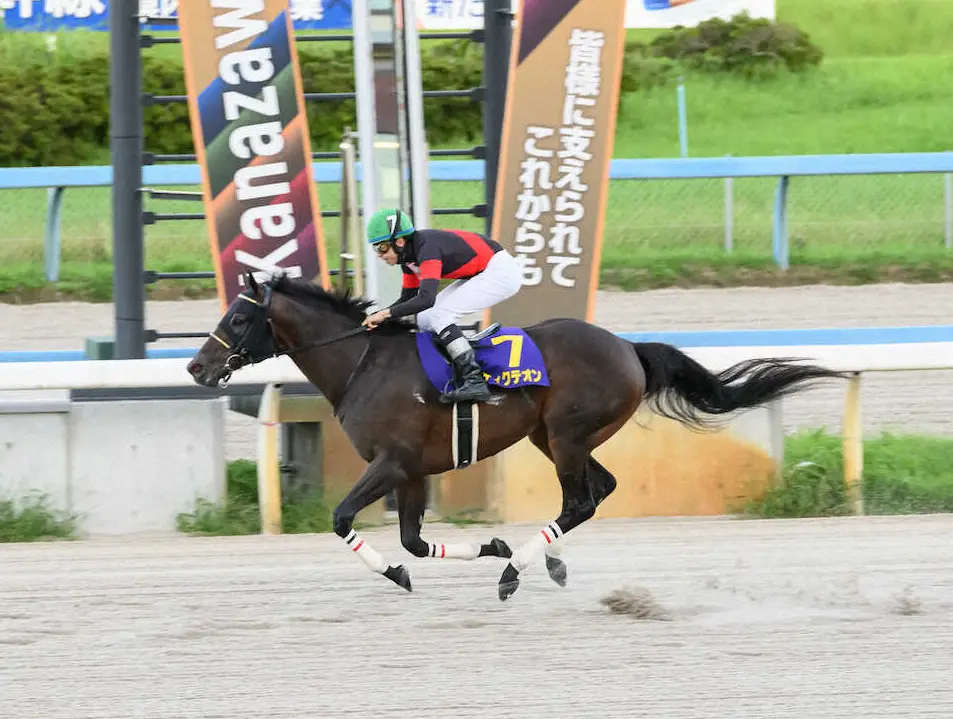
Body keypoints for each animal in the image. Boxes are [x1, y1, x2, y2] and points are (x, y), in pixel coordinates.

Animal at [186, 274, 848, 600]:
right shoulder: (414, 471)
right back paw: (543, 560)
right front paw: (489, 547)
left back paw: (517, 573)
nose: (196, 367)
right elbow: (414, 542)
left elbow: (344, 518)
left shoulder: (392, 462)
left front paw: (408, 573)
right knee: (597, 493)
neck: (363, 363)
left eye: (238, 318)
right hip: (553, 438)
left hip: (567, 434)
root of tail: (627, 347)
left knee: (580, 499)